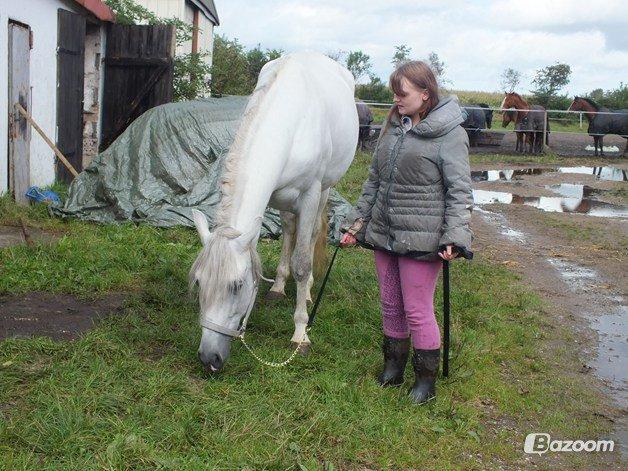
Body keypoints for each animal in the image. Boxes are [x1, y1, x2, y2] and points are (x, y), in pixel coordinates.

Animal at [189, 51, 358, 374]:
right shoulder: (271, 196)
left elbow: (302, 262)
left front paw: (301, 333)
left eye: (236, 286)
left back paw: (306, 291)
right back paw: (279, 286)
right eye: (199, 282)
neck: (291, 122)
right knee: (290, 230)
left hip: (325, 190)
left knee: (310, 235)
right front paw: (278, 285)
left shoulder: (310, 194)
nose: (209, 358)